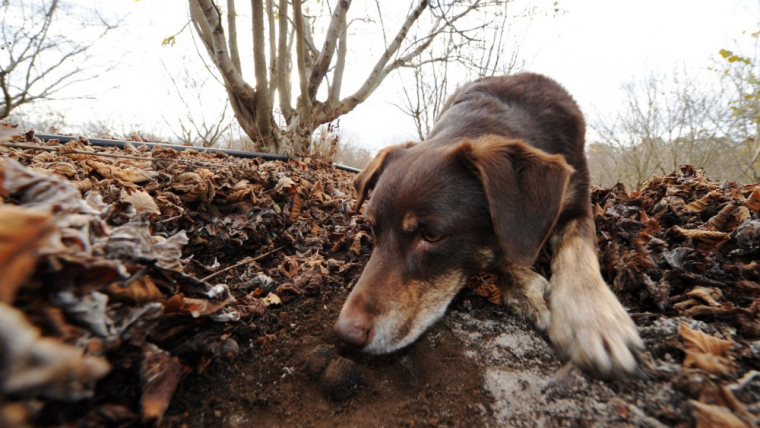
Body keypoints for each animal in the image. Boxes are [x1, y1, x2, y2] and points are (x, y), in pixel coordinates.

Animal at [332, 72, 640, 378]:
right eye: (373, 229)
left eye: (431, 235)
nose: (345, 335)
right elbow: (504, 248)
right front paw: (526, 287)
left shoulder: (579, 202)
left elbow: (577, 248)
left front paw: (592, 318)